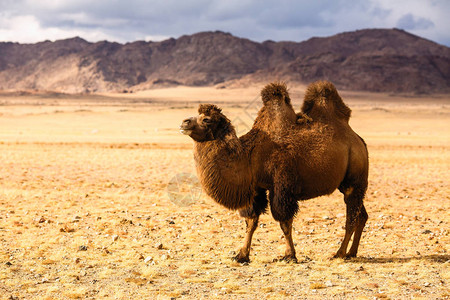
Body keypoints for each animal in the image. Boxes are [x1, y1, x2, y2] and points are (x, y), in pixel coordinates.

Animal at [179, 81, 370, 262]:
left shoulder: (282, 186)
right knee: (362, 215)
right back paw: (352, 252)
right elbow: (251, 221)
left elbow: (284, 221)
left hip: (354, 178)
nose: (184, 122)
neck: (249, 156)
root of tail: (359, 140)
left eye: (206, 119)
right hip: (347, 183)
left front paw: (289, 255)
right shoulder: (256, 188)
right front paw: (242, 255)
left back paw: (340, 253)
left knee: (351, 216)